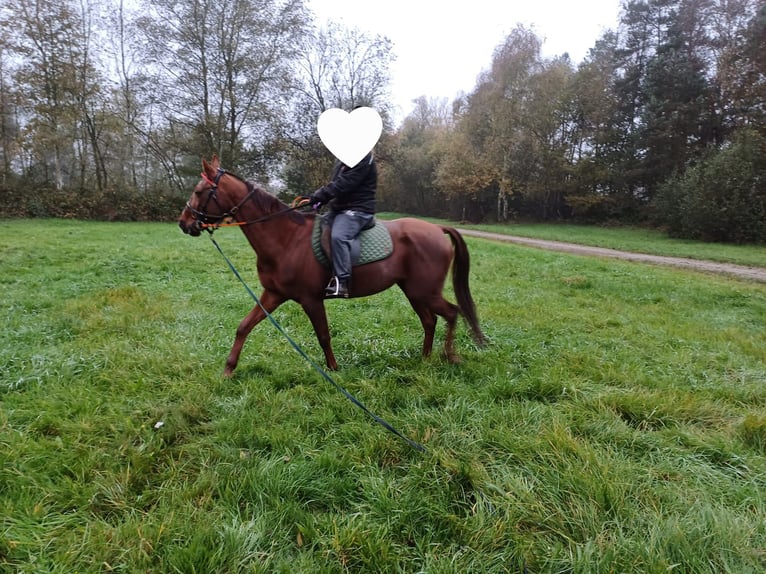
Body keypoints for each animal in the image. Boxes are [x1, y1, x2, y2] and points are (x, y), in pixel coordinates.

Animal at [178, 155, 486, 376]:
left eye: (199, 191)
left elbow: (323, 335)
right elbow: (244, 326)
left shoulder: (311, 299)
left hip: (425, 292)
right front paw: (229, 369)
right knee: (430, 320)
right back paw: (425, 358)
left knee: (452, 313)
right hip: (413, 291)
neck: (286, 238)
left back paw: (449, 356)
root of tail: (437, 229)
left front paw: (334, 369)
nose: (184, 223)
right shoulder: (273, 294)